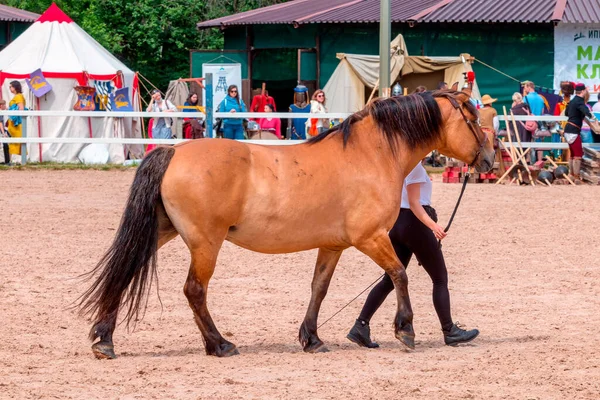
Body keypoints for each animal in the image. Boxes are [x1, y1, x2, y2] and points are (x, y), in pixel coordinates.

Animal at [78, 87, 492, 360]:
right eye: (473, 119)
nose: (490, 159)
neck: (370, 154)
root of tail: (173, 151)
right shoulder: (371, 238)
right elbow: (399, 276)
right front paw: (405, 329)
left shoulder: (333, 245)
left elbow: (318, 290)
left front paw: (312, 339)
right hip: (205, 243)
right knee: (194, 290)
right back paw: (220, 345)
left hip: (162, 232)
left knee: (123, 274)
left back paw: (105, 340)